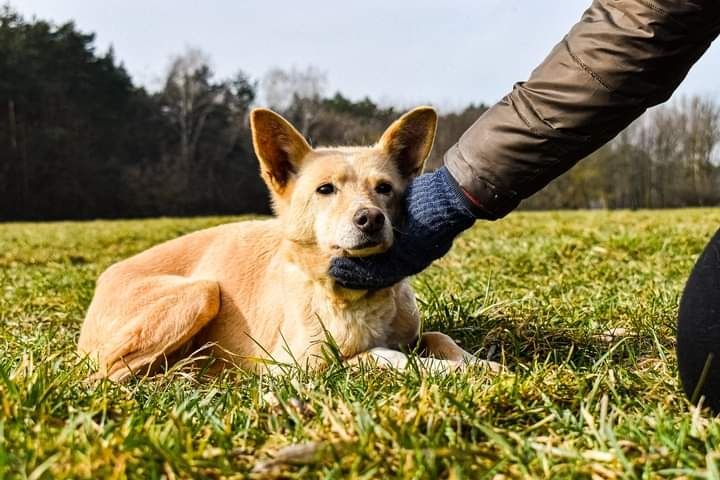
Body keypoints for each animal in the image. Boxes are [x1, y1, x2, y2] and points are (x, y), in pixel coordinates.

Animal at [76, 107, 498, 380]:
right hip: (202, 291)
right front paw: (447, 370)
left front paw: (477, 363)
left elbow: (438, 335)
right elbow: (379, 356)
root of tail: (105, 277)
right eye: (325, 189)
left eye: (384, 188)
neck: (357, 298)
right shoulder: (298, 365)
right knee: (104, 377)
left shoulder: (414, 333)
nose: (371, 219)